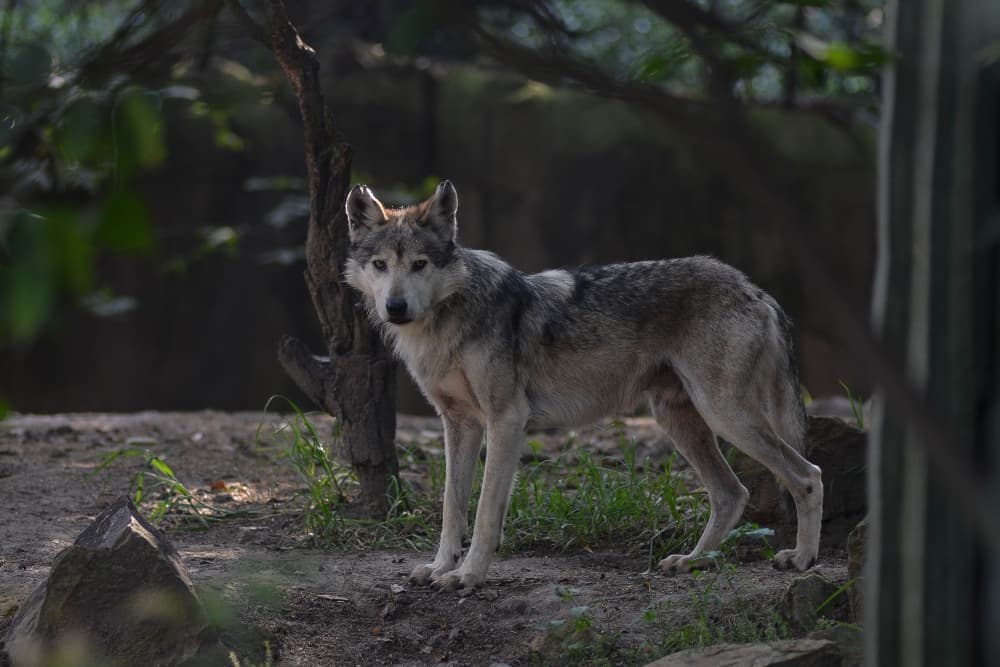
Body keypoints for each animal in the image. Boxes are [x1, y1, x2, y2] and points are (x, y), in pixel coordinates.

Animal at [344, 181, 823, 592]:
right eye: (380, 265)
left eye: (419, 265)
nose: (396, 307)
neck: (448, 321)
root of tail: (755, 290)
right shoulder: (458, 425)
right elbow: (451, 507)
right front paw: (440, 567)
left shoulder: (506, 421)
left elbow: (484, 515)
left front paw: (468, 576)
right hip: (680, 420)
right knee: (731, 493)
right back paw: (691, 562)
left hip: (725, 417)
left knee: (808, 475)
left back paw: (801, 560)